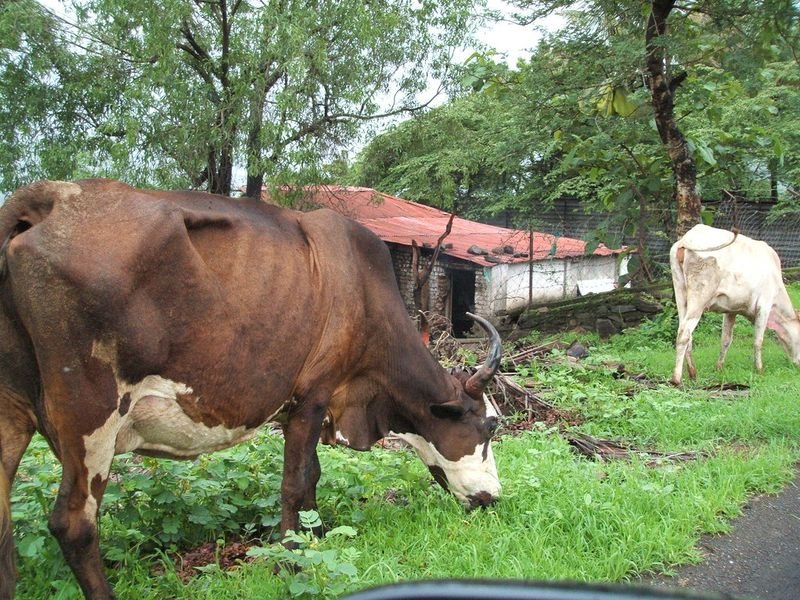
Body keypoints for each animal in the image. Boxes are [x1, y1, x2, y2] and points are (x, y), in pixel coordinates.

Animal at [0, 179, 503, 599]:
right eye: (490, 427)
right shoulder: (314, 395)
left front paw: (315, 537)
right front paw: (292, 561)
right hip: (90, 414)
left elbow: (312, 475)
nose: (494, 498)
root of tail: (48, 198)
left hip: (12, 415)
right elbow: (295, 483)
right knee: (74, 524)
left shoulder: (300, 407)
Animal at [670, 223, 800, 385]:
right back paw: (676, 378)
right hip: (699, 298)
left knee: (685, 332)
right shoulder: (764, 304)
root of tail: (687, 238)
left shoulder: (731, 309)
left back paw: (693, 373)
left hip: (680, 293)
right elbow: (758, 340)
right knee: (684, 334)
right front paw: (759, 370)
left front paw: (719, 367)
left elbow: (726, 339)